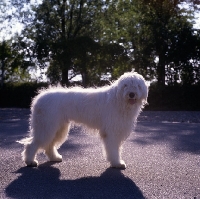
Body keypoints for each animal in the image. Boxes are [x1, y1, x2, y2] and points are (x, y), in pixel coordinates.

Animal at [18, 71, 148, 168]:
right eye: (125, 85)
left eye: (137, 86)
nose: (132, 94)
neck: (119, 100)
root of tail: (38, 98)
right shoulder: (112, 132)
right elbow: (113, 149)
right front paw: (117, 163)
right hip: (46, 126)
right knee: (32, 144)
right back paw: (30, 161)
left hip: (58, 128)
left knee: (49, 145)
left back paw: (54, 157)